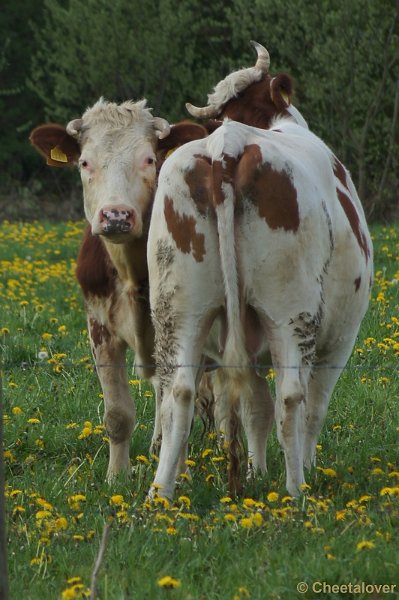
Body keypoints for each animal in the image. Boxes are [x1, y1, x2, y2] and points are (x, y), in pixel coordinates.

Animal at [148, 48, 376, 496]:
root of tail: (227, 143)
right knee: (291, 398)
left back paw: (160, 492)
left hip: (179, 309)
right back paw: (297, 490)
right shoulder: (339, 339)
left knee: (177, 395)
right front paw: (301, 467)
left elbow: (254, 407)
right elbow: (311, 407)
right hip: (291, 311)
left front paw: (256, 471)